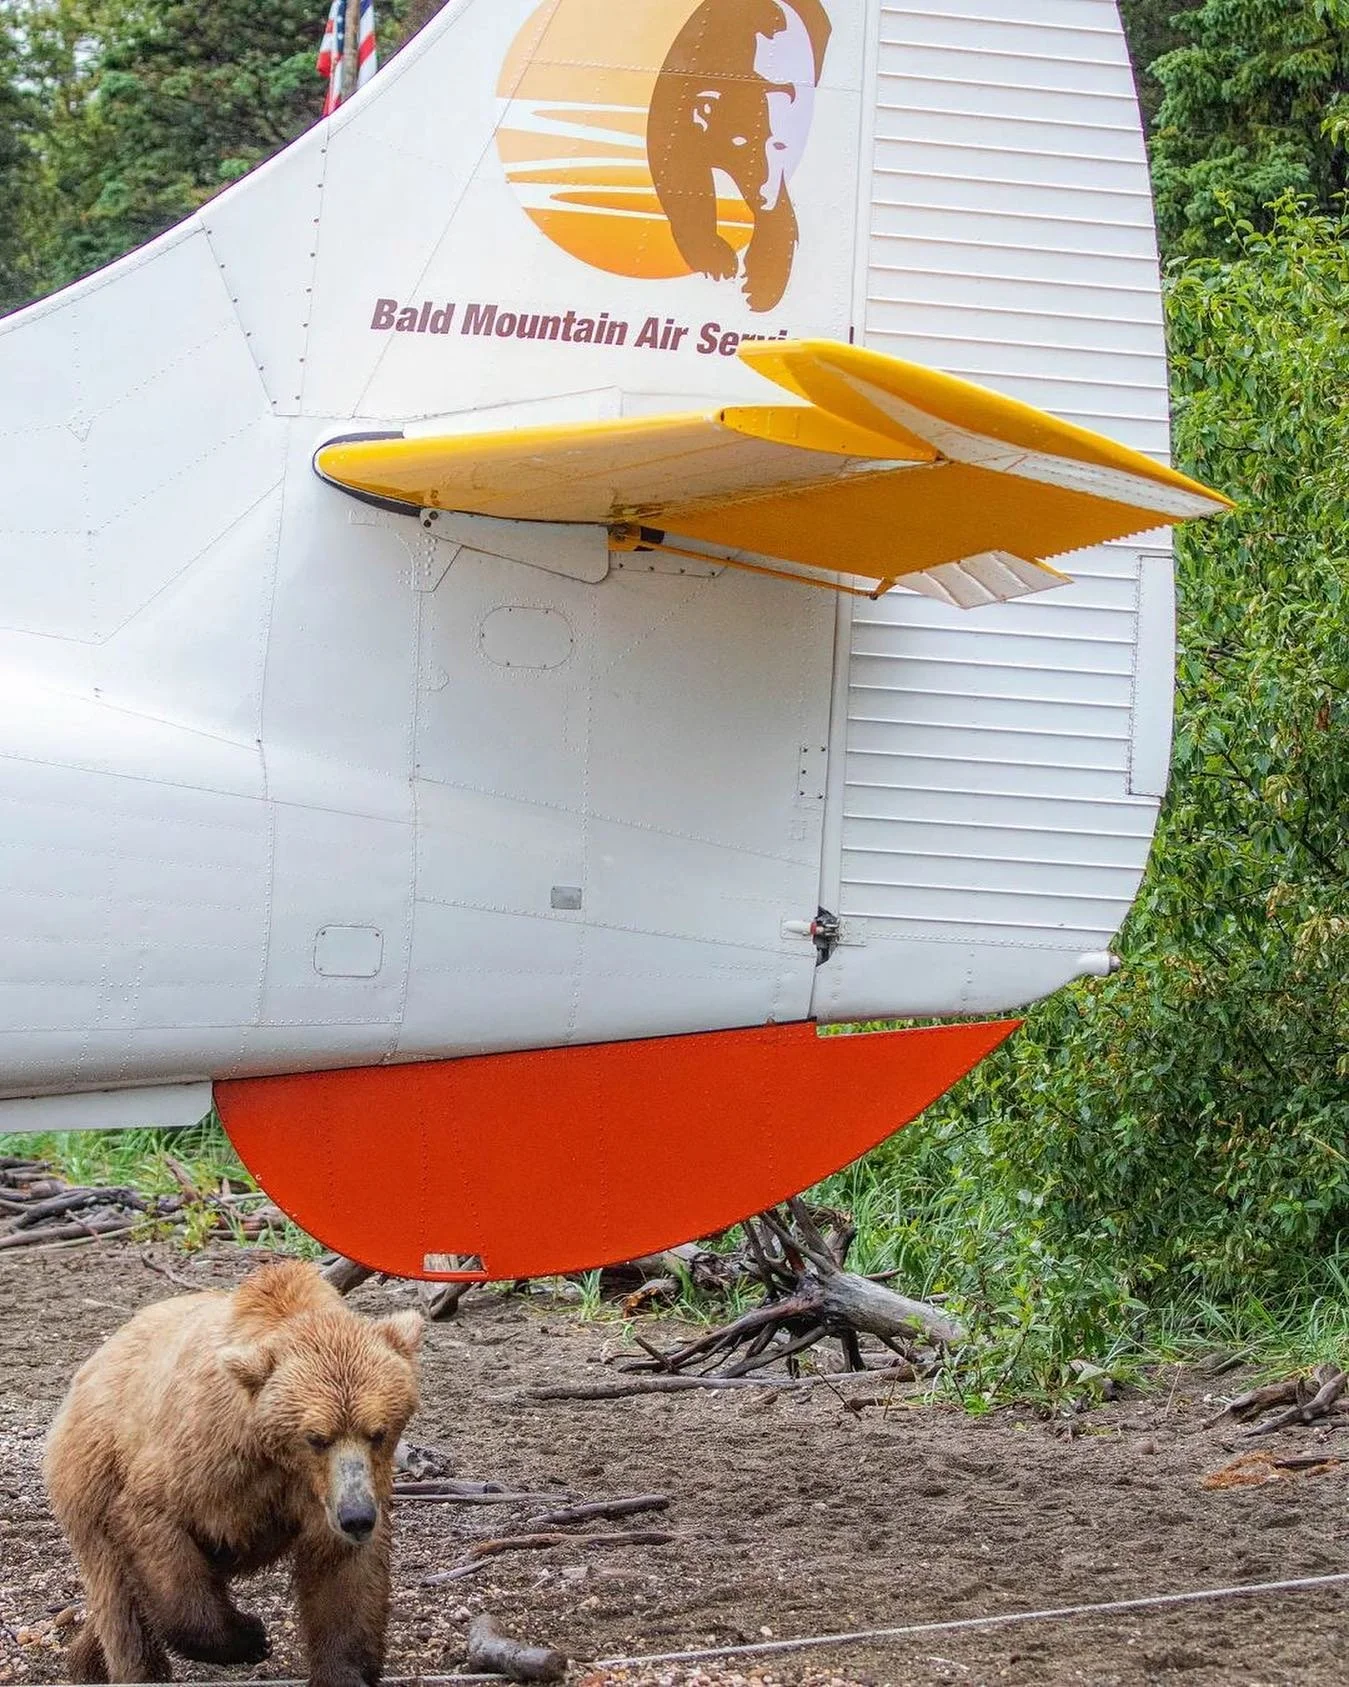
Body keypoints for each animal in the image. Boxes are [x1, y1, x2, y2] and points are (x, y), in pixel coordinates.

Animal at [44, 1260, 424, 1687]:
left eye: (378, 1432)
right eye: (316, 1437)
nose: (357, 1516)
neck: (277, 1455)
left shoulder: (328, 1493)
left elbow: (343, 1581)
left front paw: (345, 1672)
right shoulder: (205, 1460)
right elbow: (156, 1524)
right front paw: (248, 1636)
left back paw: (85, 1657)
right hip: (91, 1471)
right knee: (120, 1603)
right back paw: (126, 1667)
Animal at [647, 0, 832, 313]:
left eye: (779, 145)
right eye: (740, 140)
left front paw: (760, 283)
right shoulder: (676, 126)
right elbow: (682, 183)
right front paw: (716, 259)